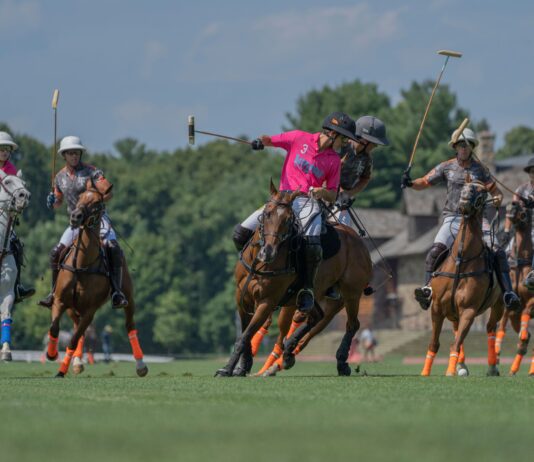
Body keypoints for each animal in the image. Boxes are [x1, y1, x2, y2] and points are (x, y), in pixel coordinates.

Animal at [44, 186, 148, 378]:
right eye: (79, 197)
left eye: (97, 203)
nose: (75, 216)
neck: (82, 264)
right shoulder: (60, 301)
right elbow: (55, 328)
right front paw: (52, 354)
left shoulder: (90, 310)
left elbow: (73, 339)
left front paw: (61, 371)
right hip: (72, 308)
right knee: (77, 328)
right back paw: (77, 363)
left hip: (128, 298)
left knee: (129, 325)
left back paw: (140, 365)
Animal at [215, 179, 372, 378]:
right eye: (266, 214)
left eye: (289, 220)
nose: (268, 252)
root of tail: (359, 240)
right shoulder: (242, 298)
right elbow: (246, 333)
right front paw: (242, 367)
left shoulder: (268, 301)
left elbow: (245, 336)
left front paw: (227, 369)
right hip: (314, 295)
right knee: (316, 317)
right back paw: (288, 352)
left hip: (350, 293)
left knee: (352, 324)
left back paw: (341, 362)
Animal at [422, 179, 506, 378]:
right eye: (464, 187)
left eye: (482, 191)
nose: (465, 199)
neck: (462, 259)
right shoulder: (437, 307)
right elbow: (434, 343)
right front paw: (425, 371)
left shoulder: (469, 309)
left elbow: (456, 343)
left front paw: (450, 371)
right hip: (452, 310)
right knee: (455, 328)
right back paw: (462, 366)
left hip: (498, 305)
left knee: (490, 328)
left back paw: (492, 367)